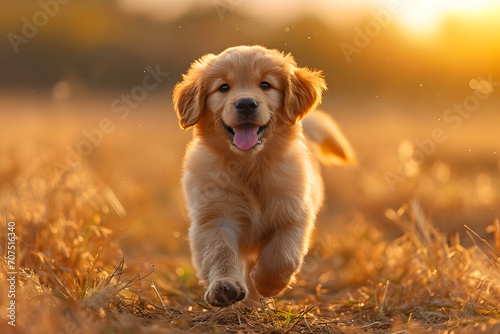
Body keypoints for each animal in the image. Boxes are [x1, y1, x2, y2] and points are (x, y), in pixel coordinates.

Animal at [174, 45, 354, 306]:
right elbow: (220, 252)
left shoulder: (293, 215)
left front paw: (267, 284)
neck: (250, 166)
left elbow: (283, 255)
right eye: (223, 87)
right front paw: (225, 286)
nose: (246, 104)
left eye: (266, 85)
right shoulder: (213, 218)